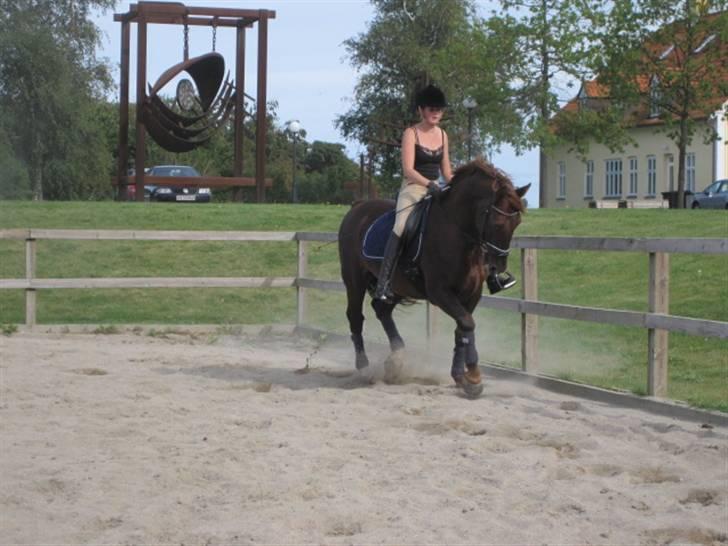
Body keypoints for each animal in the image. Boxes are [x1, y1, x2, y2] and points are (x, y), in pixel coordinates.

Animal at [336, 158, 528, 396]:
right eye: (497, 223)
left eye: (517, 223)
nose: (497, 266)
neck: (457, 233)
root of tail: (358, 206)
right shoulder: (439, 293)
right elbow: (467, 323)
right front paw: (474, 376)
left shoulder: (472, 293)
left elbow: (463, 328)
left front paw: (462, 377)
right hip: (354, 280)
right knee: (355, 316)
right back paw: (364, 369)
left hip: (396, 286)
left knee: (381, 310)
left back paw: (396, 360)